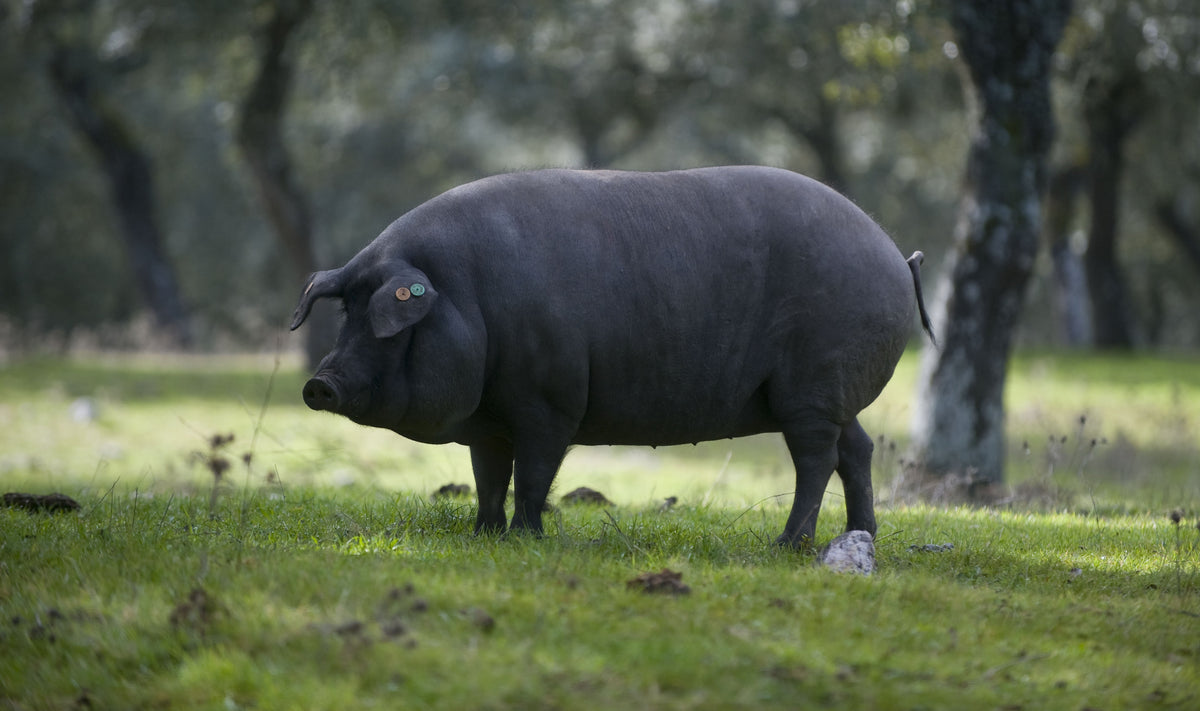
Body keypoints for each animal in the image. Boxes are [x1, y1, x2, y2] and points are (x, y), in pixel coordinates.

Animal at [290, 166, 933, 547]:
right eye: (347, 312)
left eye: (386, 325)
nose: (319, 384)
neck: (469, 297)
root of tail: (896, 256)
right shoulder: (489, 419)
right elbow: (488, 476)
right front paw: (483, 535)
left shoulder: (550, 402)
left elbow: (534, 475)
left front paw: (524, 538)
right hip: (834, 395)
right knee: (858, 449)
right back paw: (861, 538)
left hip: (814, 387)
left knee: (817, 458)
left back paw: (787, 545)